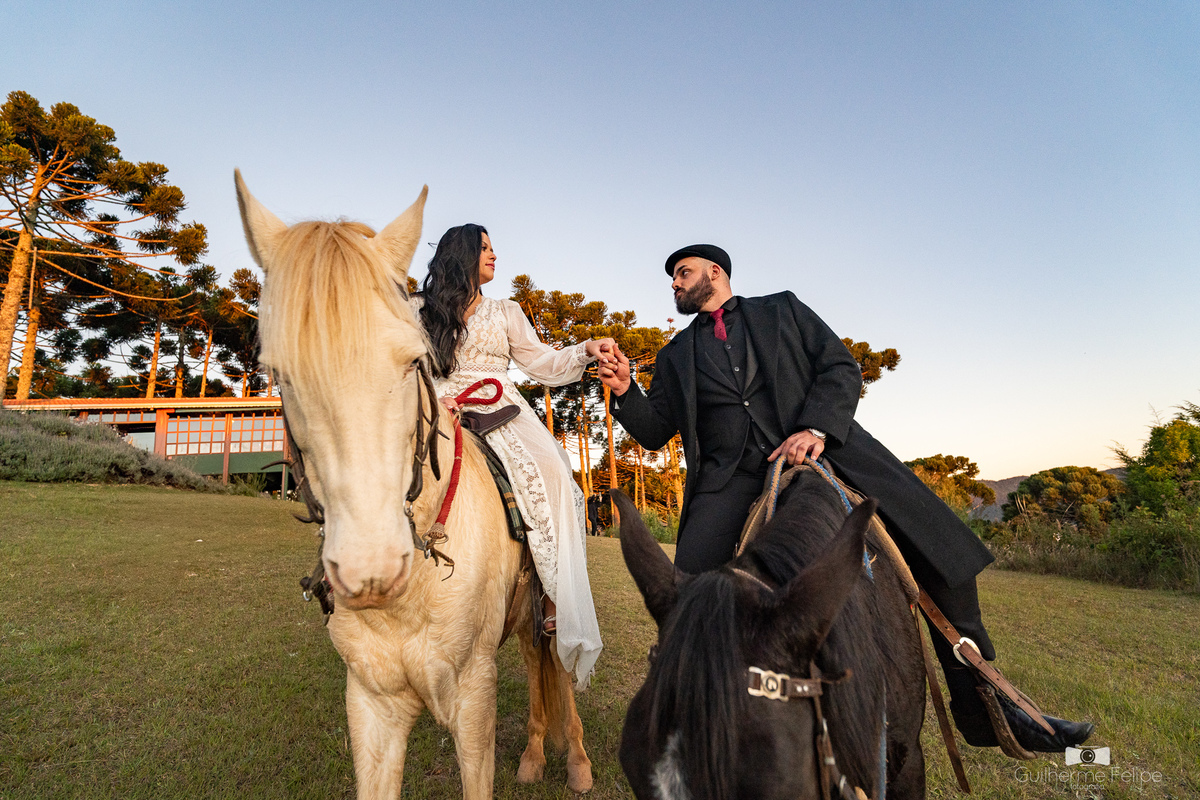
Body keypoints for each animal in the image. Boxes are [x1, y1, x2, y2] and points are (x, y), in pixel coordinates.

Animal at [234, 171, 592, 798]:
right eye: (280, 372)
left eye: (409, 362)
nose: (370, 569)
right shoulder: (371, 703)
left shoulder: (472, 699)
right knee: (534, 659)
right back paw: (531, 756)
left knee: (556, 664)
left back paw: (574, 761)